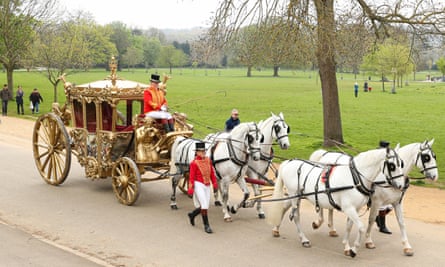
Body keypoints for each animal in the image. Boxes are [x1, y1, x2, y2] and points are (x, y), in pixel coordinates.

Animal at [266, 148, 404, 258]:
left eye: (402, 164)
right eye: (392, 165)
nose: (402, 185)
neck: (355, 178)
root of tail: (289, 162)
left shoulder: (355, 208)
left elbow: (349, 226)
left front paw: (347, 247)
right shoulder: (349, 208)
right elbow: (361, 227)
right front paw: (354, 249)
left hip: (295, 196)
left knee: (284, 207)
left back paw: (276, 229)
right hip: (294, 196)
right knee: (295, 216)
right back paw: (304, 239)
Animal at [308, 139, 438, 256]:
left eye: (434, 156)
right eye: (426, 157)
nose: (435, 176)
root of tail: (326, 153)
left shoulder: (397, 202)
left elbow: (401, 223)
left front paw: (407, 246)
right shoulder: (376, 202)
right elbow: (371, 220)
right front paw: (368, 241)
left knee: (330, 208)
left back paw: (332, 229)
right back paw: (318, 222)